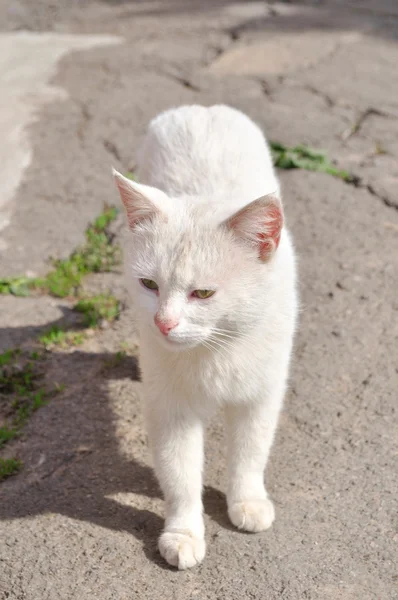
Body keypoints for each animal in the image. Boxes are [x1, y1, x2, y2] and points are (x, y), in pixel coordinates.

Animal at [113, 105, 296, 568]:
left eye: (204, 294)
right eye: (149, 285)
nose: (163, 323)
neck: (215, 350)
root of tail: (202, 109)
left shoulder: (260, 395)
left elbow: (250, 452)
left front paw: (247, 501)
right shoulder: (171, 408)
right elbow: (179, 475)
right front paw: (183, 534)